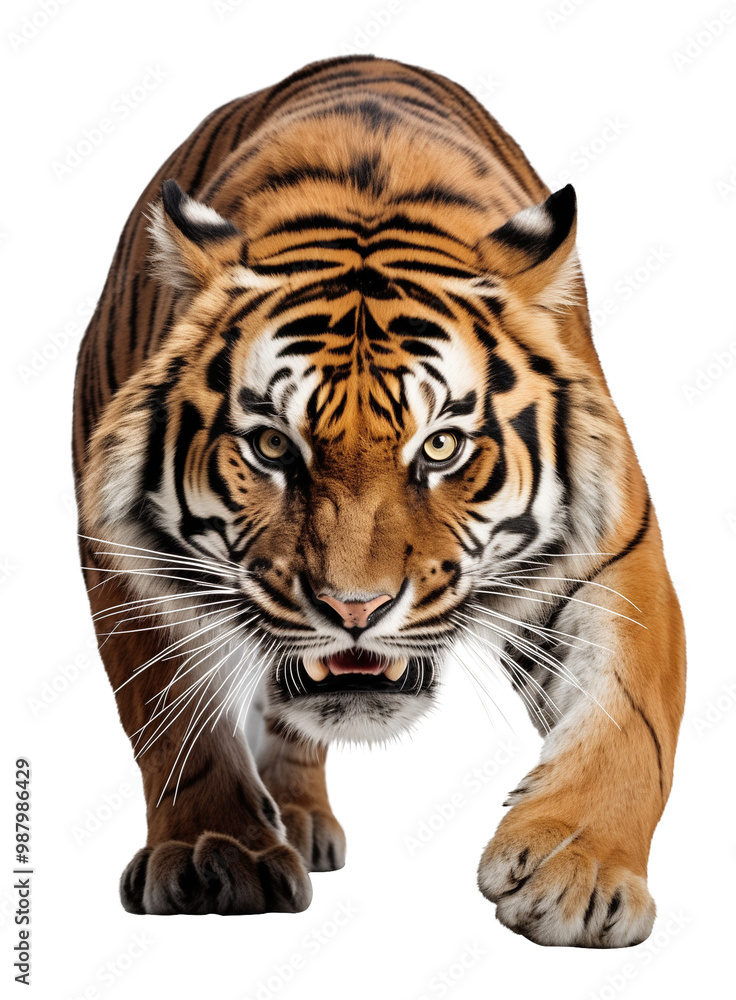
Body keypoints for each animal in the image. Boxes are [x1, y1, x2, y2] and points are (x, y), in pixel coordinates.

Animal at [72, 55, 685, 947]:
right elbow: (172, 714)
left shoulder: (612, 550)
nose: (354, 610)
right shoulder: (124, 556)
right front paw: (215, 855)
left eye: (441, 447)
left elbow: (631, 712)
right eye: (272, 447)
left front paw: (579, 874)